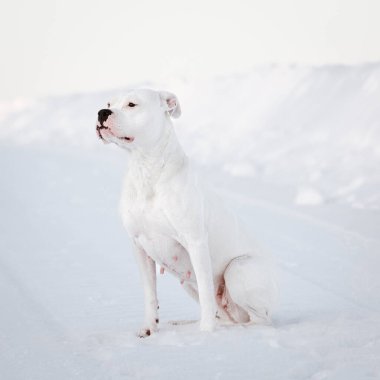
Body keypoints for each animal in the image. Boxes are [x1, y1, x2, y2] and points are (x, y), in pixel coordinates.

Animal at [96, 90, 274, 338]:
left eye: (132, 104)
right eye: (109, 103)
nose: (102, 113)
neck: (146, 168)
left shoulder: (196, 243)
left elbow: (207, 297)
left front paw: (206, 333)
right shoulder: (139, 247)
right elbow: (150, 294)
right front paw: (149, 328)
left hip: (238, 270)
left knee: (260, 320)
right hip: (189, 284)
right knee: (224, 315)